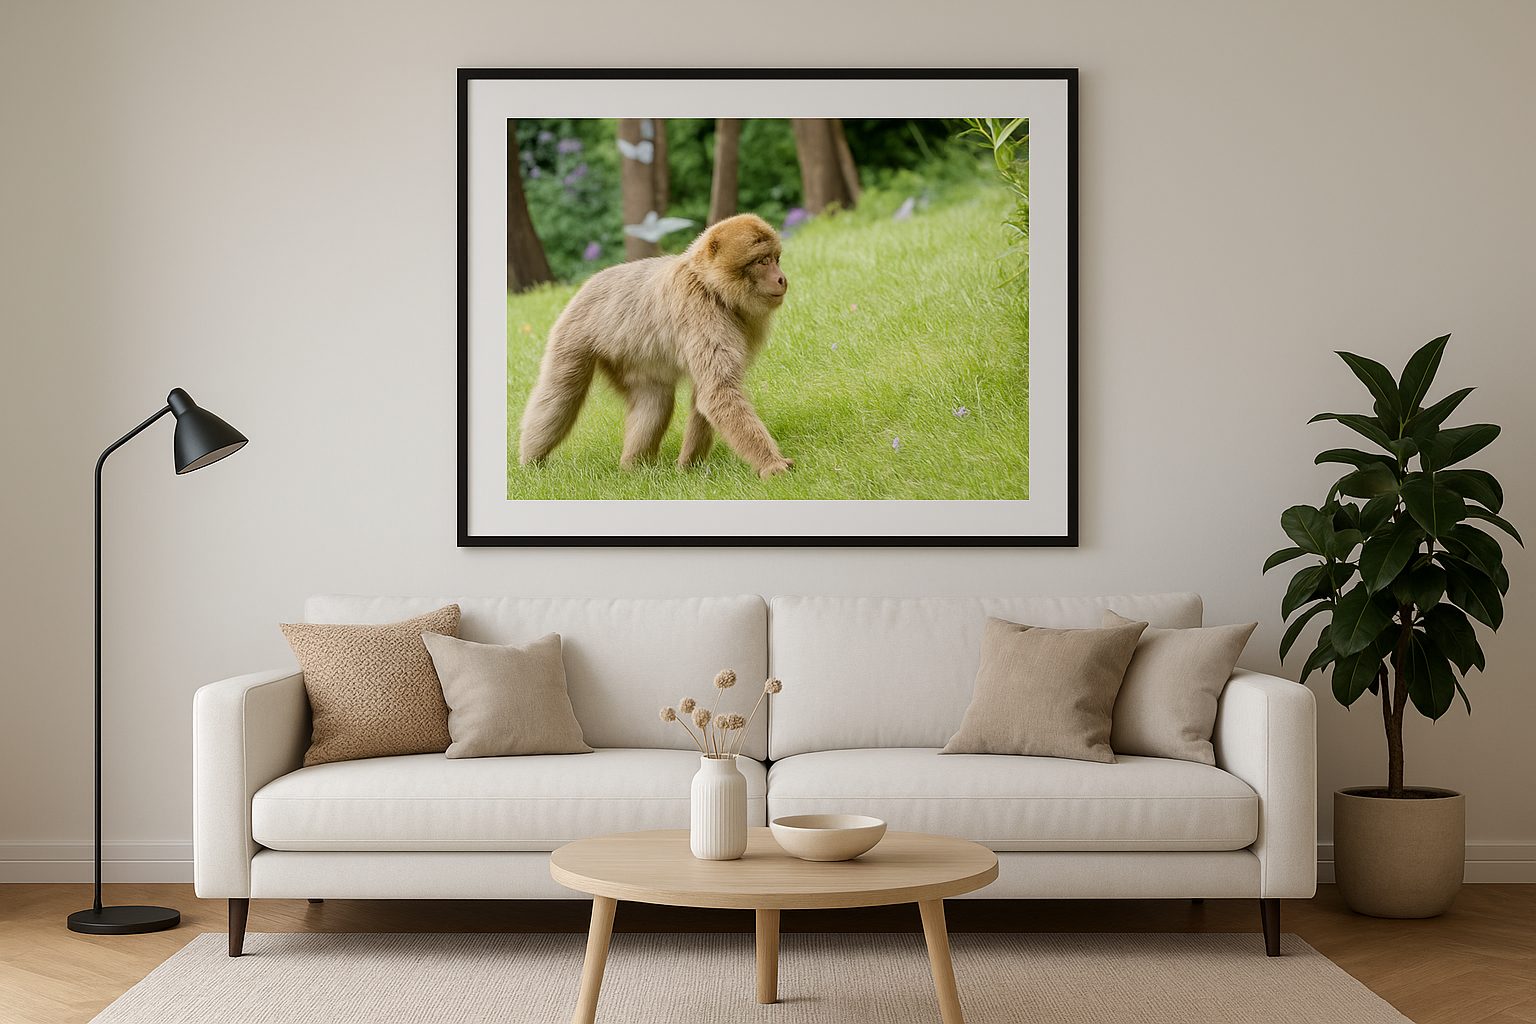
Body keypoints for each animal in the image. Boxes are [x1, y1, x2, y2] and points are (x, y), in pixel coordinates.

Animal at [517, 213, 793, 478]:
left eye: (776, 259)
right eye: (762, 261)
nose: (782, 279)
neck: (710, 287)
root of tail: (587, 284)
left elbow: (705, 395)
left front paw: (688, 466)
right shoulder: (699, 310)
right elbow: (718, 392)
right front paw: (771, 465)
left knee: (655, 400)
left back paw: (633, 468)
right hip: (572, 334)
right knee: (560, 395)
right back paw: (531, 464)